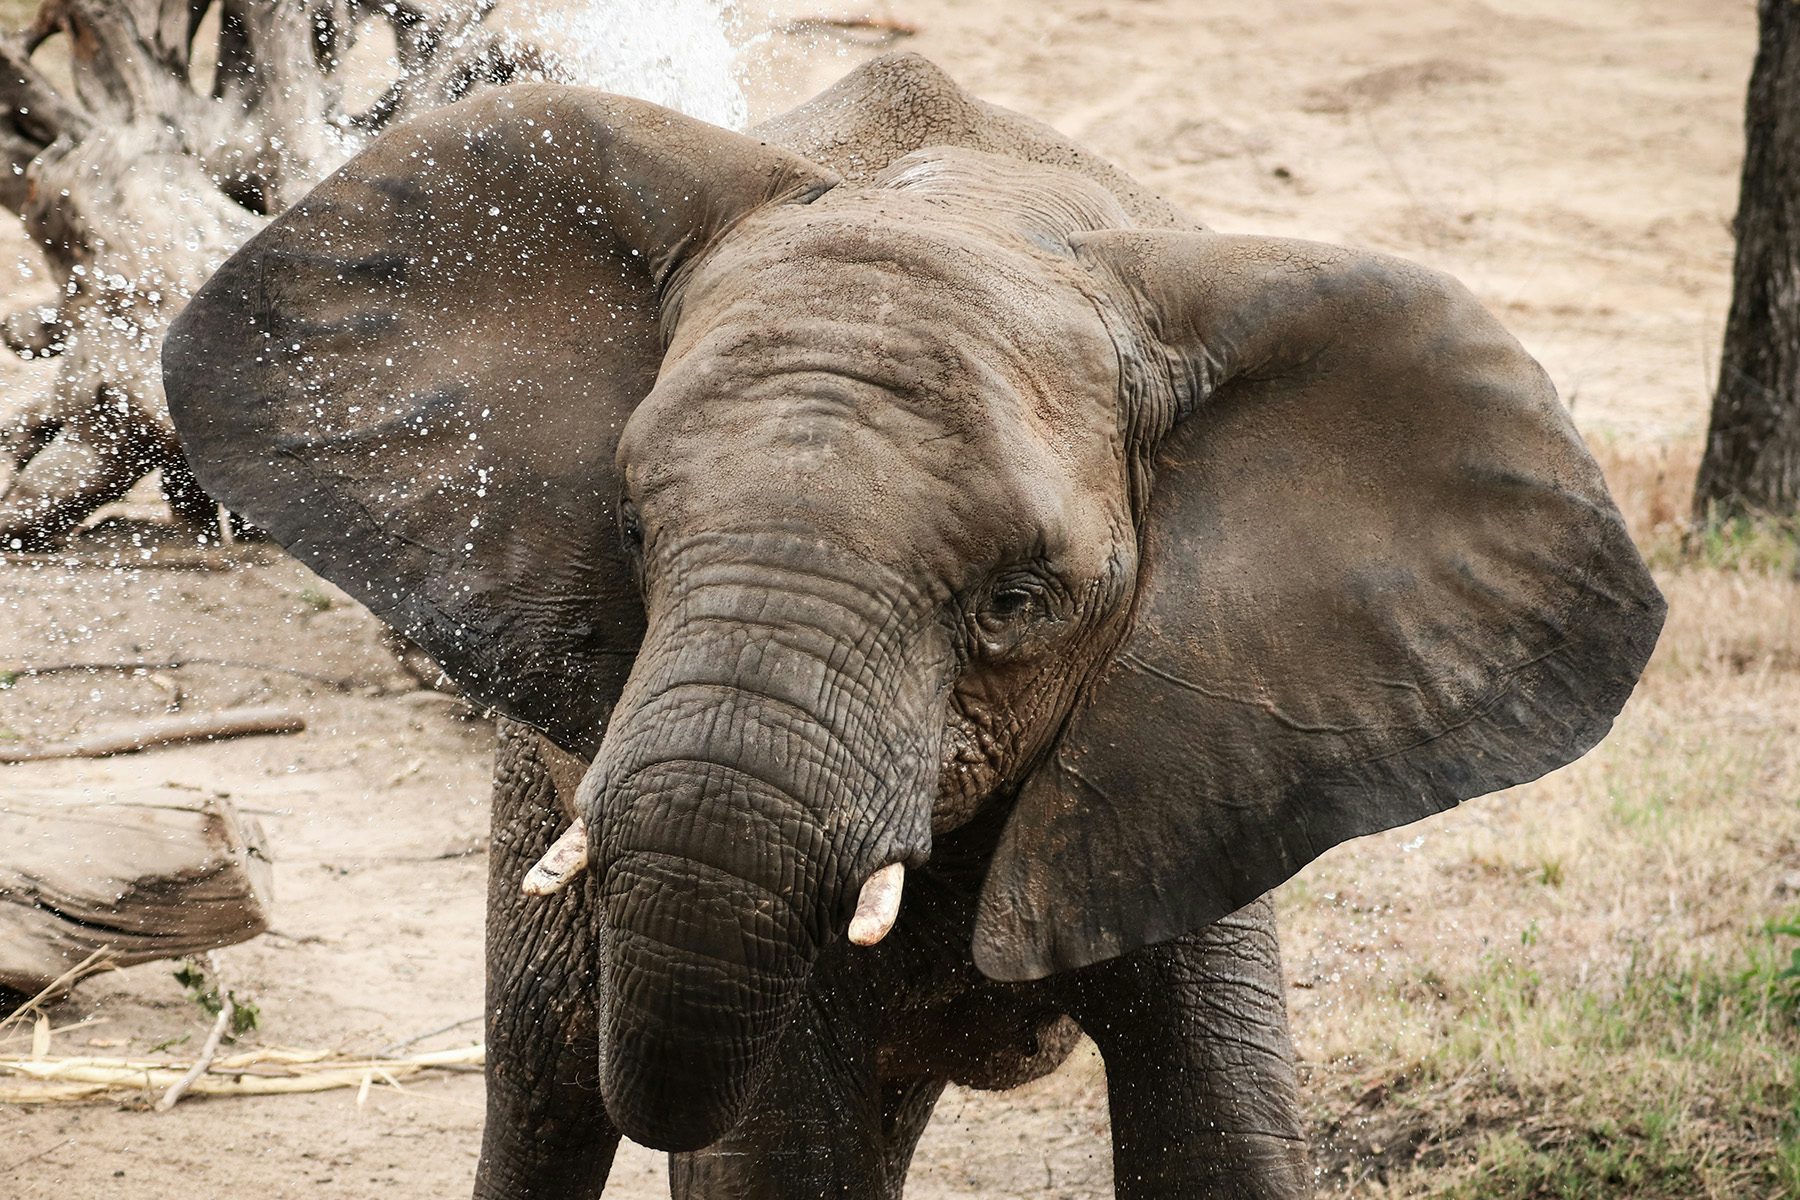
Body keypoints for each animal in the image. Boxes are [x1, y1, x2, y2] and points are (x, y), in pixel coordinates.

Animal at [162, 51, 1663, 1194]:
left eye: (1017, 602)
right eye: (633, 535)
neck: (982, 211)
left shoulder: (1194, 747)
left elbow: (1218, 1131)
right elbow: (776, 1151)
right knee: (544, 1096)